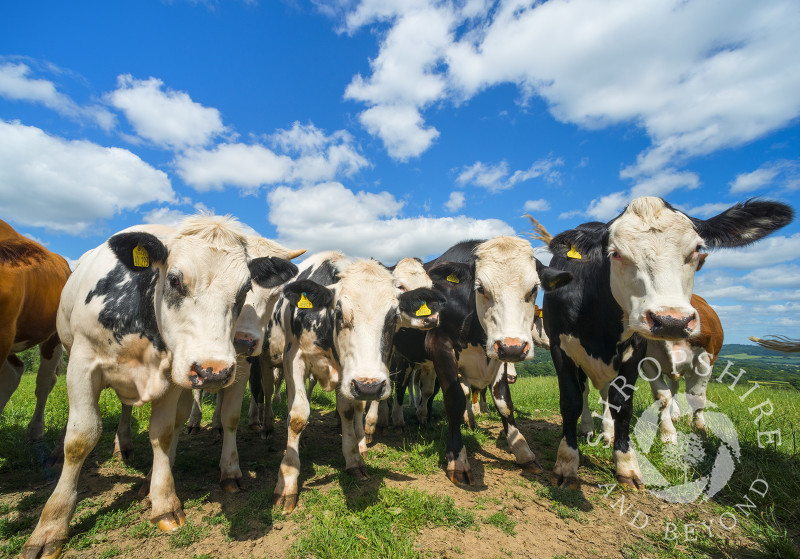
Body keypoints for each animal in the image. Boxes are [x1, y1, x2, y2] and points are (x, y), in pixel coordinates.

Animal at [392, 236, 568, 486]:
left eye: (534, 289)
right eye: (480, 288)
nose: (514, 346)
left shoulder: (498, 355)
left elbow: (504, 403)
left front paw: (523, 451)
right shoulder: (440, 346)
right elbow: (455, 400)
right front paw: (458, 459)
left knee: (425, 392)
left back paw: (423, 417)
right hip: (401, 356)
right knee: (399, 387)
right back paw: (397, 422)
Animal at [548, 197, 792, 490]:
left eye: (697, 250)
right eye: (615, 253)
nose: (671, 321)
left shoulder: (637, 353)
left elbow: (624, 405)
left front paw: (626, 464)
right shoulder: (560, 348)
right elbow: (571, 401)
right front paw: (567, 463)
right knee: (587, 393)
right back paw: (589, 427)